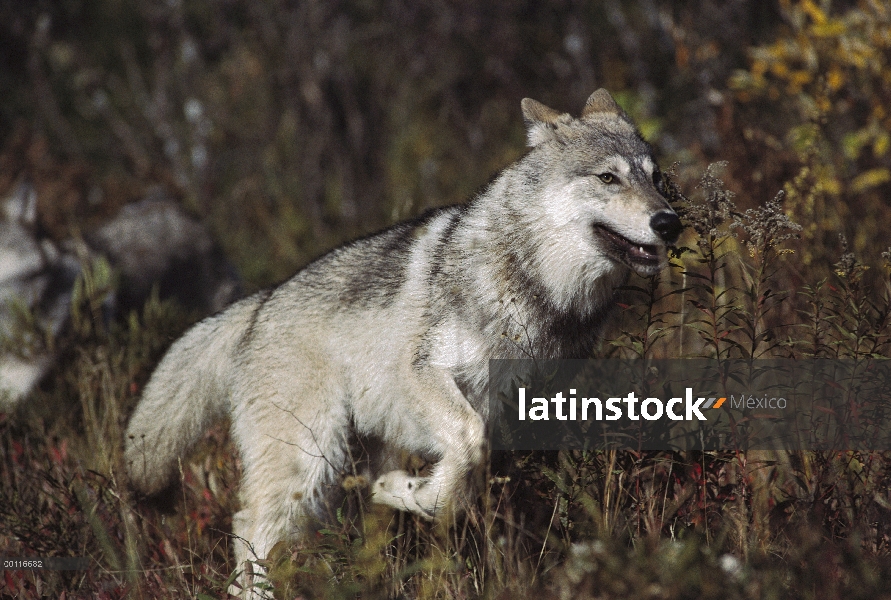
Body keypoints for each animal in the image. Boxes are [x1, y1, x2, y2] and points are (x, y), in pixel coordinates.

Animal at [123, 89, 684, 596]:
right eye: (608, 178)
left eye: (656, 179)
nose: (669, 222)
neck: (537, 289)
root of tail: (260, 305)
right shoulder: (425, 376)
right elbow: (464, 447)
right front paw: (408, 490)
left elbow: (470, 479)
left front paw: (411, 493)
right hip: (309, 463)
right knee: (250, 530)